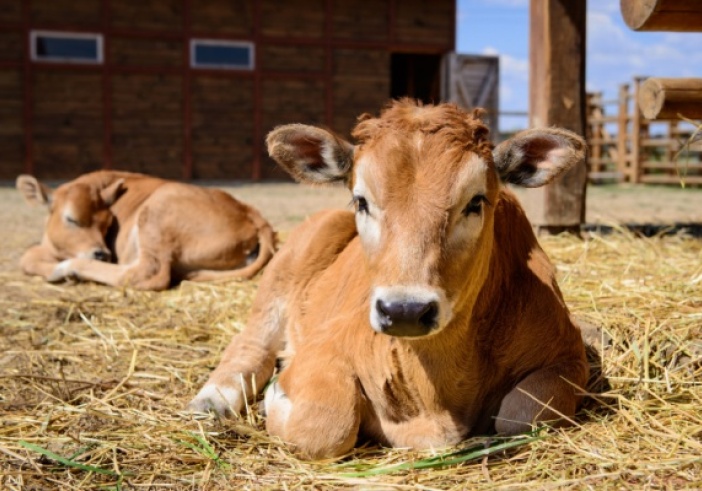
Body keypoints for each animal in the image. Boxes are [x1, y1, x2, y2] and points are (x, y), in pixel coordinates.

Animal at [16, 171, 276, 290]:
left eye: (107, 224)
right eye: (71, 219)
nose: (102, 254)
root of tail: (249, 211)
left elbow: (28, 256)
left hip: (156, 212)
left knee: (146, 274)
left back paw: (68, 270)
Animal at [190, 101, 592, 462]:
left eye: (475, 202)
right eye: (361, 201)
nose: (405, 311)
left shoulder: (569, 356)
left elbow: (519, 416)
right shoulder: (327, 344)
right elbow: (324, 426)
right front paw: (276, 394)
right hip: (286, 267)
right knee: (252, 343)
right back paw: (213, 399)